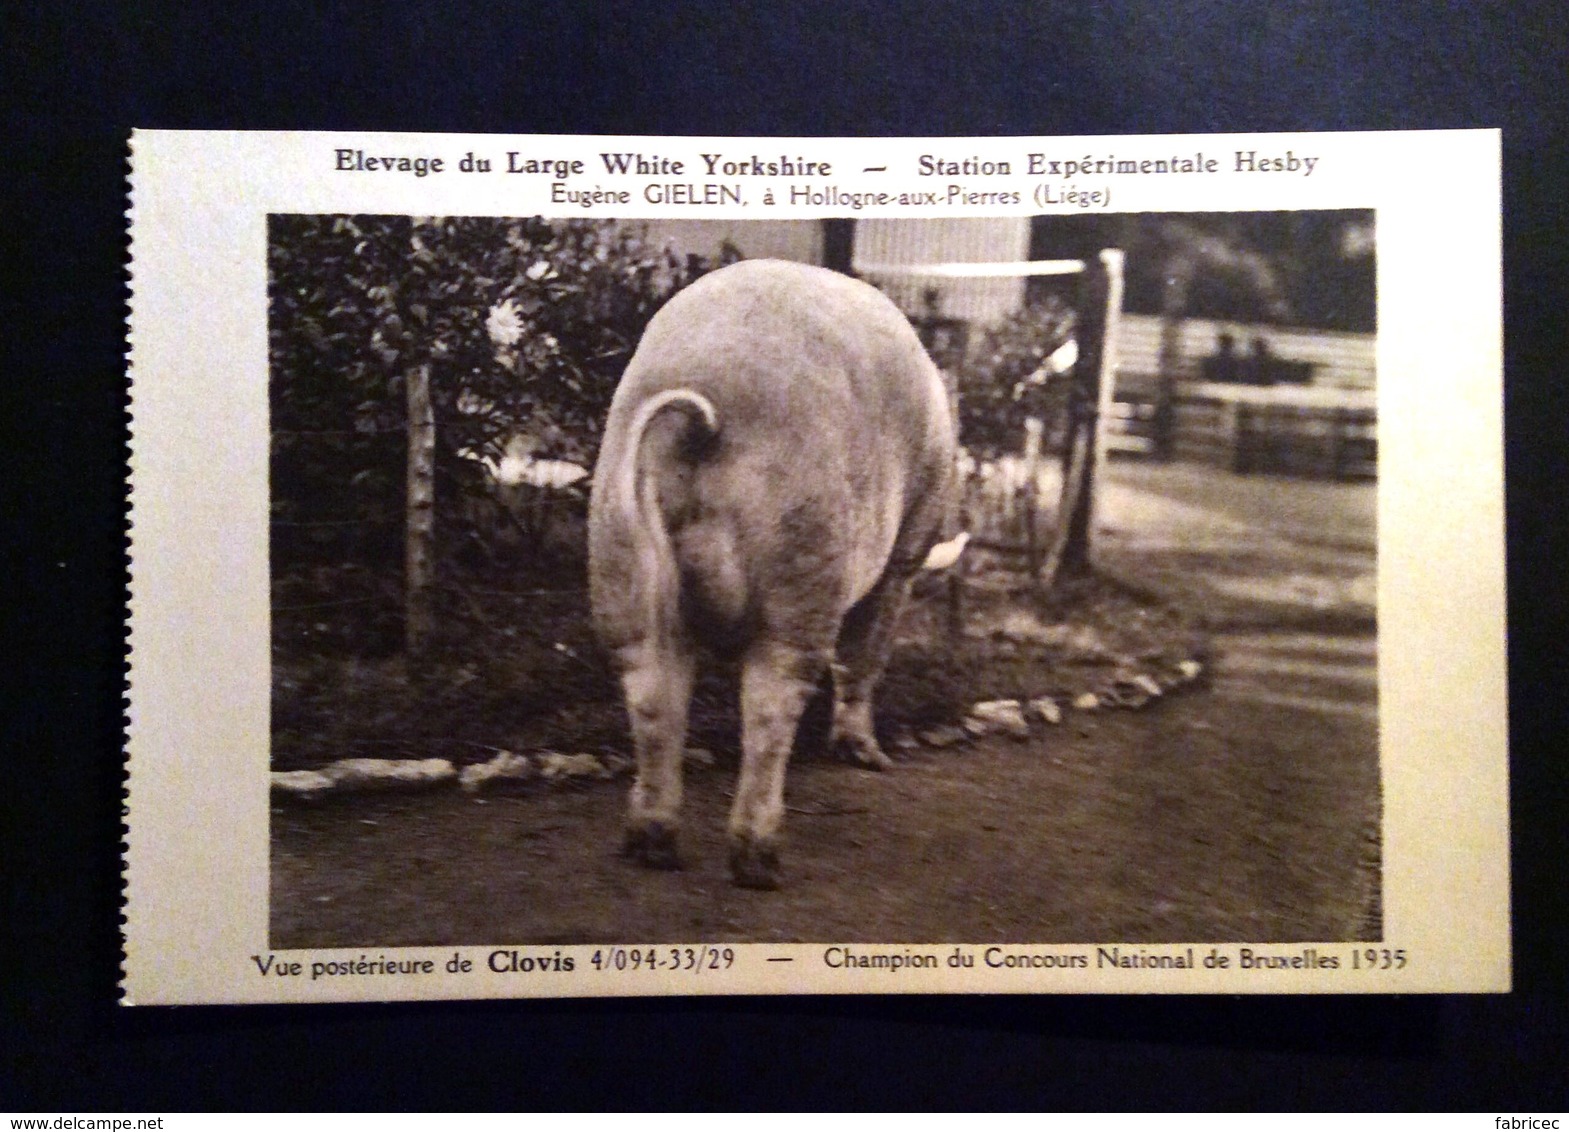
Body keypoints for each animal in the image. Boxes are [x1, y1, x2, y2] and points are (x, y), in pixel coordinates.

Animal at [589, 260, 953, 885]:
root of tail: (702, 419)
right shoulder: (903, 555)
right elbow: (866, 653)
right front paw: (870, 759)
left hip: (615, 539)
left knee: (650, 687)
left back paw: (651, 846)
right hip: (802, 553)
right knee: (772, 699)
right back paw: (761, 864)